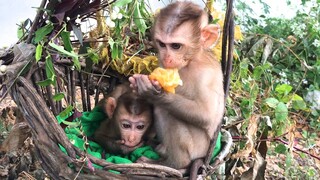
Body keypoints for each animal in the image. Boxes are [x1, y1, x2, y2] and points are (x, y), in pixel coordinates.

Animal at [128, 1, 225, 170]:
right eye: (162, 44)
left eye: (175, 46)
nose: (167, 58)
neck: (190, 61)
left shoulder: (206, 75)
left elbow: (206, 115)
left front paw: (153, 93)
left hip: (197, 148)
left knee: (167, 112)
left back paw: (174, 163)